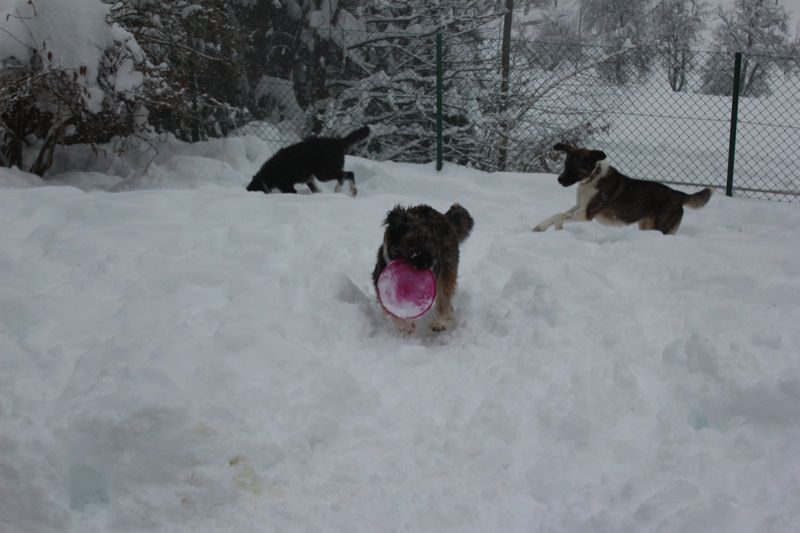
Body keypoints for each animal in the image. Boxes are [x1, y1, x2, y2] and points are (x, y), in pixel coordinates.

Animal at [372, 204, 472, 332]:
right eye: (410, 241)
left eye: (429, 239)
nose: (428, 262)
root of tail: (445, 217)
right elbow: (393, 310)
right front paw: (406, 327)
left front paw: (408, 327)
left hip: (447, 267)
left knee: (445, 301)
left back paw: (441, 323)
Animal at [532, 142, 712, 234]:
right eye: (565, 164)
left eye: (575, 167)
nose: (559, 180)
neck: (592, 177)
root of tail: (679, 194)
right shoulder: (579, 206)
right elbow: (560, 214)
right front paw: (553, 227)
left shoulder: (586, 214)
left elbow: (560, 215)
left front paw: (545, 227)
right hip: (646, 225)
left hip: (661, 226)